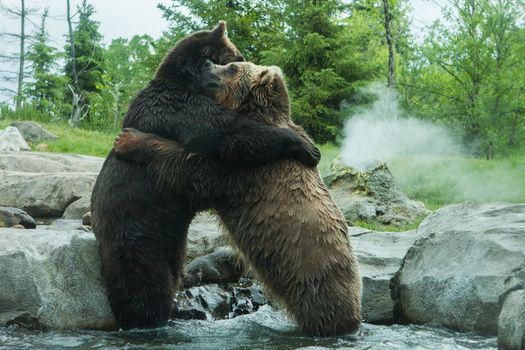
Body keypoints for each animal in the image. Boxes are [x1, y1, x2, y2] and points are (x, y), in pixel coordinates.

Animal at [90, 22, 320, 330]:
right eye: (236, 56)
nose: (246, 58)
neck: (186, 80)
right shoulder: (179, 107)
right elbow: (224, 132)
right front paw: (305, 146)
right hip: (138, 236)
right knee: (147, 284)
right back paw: (155, 317)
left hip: (173, 241)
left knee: (173, 270)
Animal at [113, 63, 360, 336]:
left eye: (232, 68)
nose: (209, 64)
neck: (257, 114)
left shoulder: (244, 169)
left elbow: (191, 167)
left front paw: (129, 139)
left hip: (313, 275)